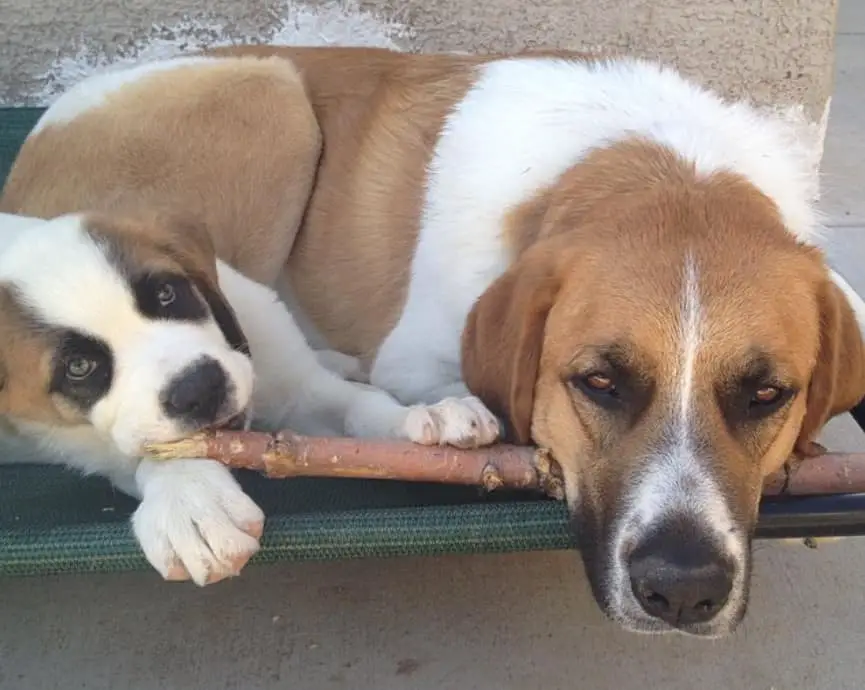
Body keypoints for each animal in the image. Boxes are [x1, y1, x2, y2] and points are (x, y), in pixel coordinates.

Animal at [1, 45, 864, 636]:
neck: (657, 166)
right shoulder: (415, 352)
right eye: (598, 383)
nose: (683, 591)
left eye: (766, 395)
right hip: (271, 97)